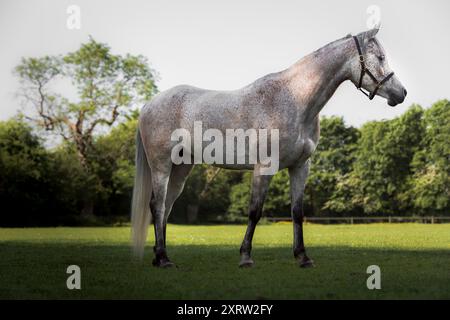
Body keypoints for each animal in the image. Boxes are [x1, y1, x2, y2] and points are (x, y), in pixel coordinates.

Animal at [131, 28, 408, 268]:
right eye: (380, 57)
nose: (401, 93)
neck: (294, 100)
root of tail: (148, 105)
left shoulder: (300, 167)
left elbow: (297, 212)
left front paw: (302, 257)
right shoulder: (264, 168)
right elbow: (255, 211)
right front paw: (245, 257)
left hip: (181, 168)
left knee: (166, 207)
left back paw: (160, 255)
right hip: (161, 166)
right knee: (157, 206)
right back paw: (163, 259)